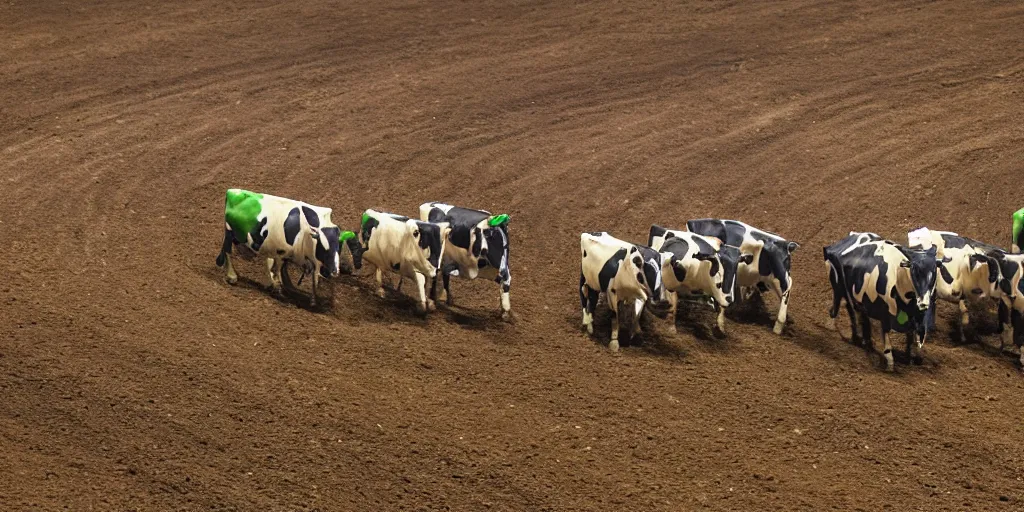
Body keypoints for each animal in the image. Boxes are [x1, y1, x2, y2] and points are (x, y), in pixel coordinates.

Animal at [214, 190, 354, 305]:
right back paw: (232, 276)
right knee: (228, 252)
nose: (335, 271)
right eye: (324, 247)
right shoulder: (282, 252)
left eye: (339, 247)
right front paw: (279, 288)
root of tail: (232, 191)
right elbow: (278, 269)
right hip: (229, 233)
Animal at [823, 233, 937, 372]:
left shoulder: (914, 316)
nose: (923, 303)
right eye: (914, 271)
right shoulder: (885, 316)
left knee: (859, 314)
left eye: (935, 271)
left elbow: (913, 336)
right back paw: (857, 338)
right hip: (840, 289)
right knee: (851, 310)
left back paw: (866, 341)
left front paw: (912, 357)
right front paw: (890, 364)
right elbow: (887, 340)